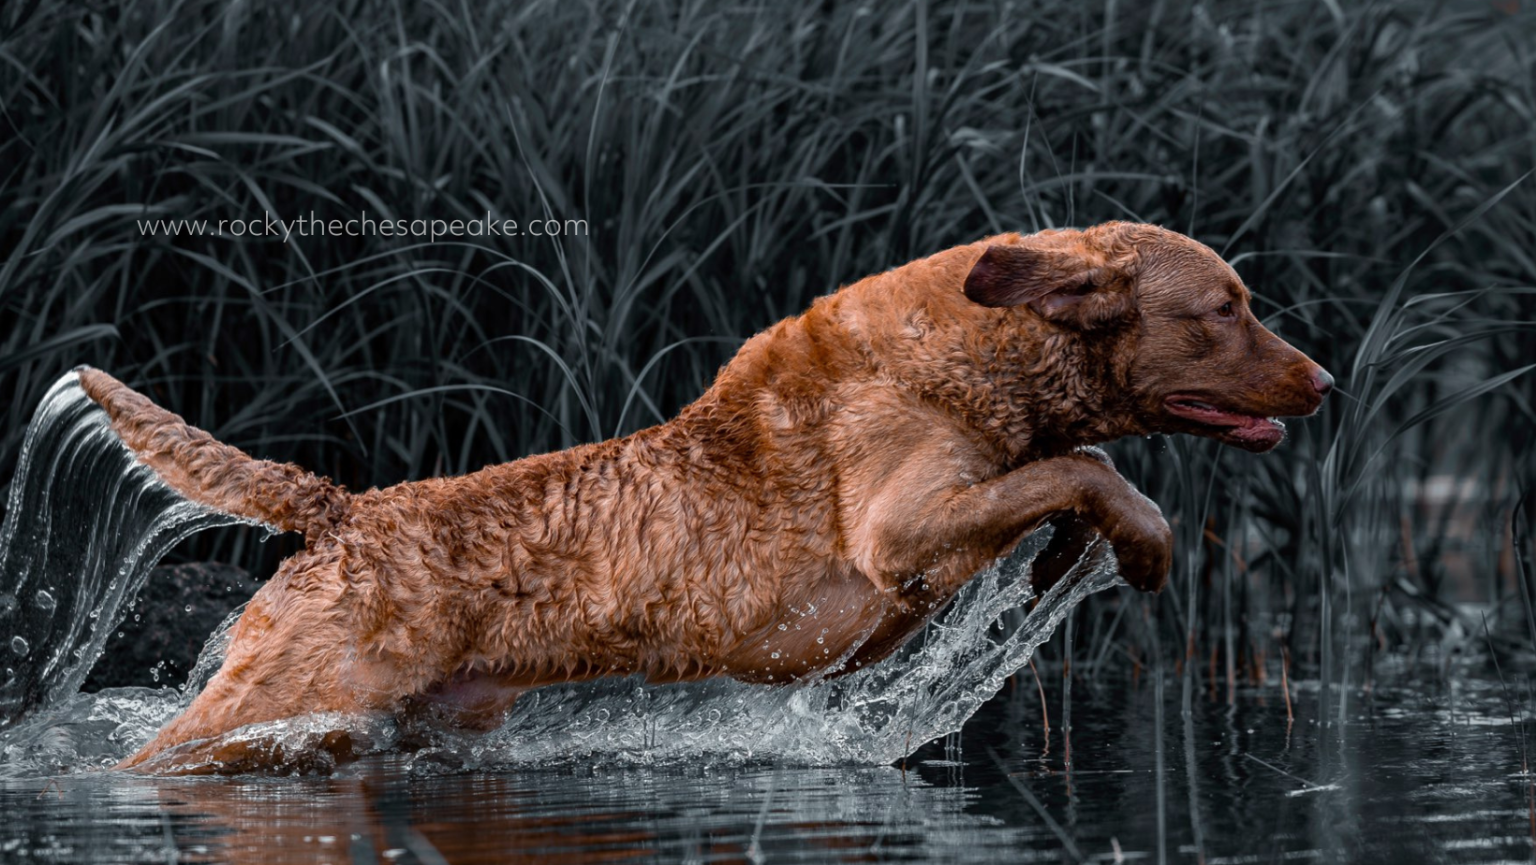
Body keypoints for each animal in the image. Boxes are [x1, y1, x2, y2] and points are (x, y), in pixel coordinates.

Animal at [75, 221, 1330, 771]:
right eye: (1226, 308)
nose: (1324, 378)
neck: (982, 351)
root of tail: (342, 509)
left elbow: (1082, 470)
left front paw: (1081, 551)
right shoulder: (901, 529)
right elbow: (1091, 465)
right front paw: (1145, 543)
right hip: (280, 695)